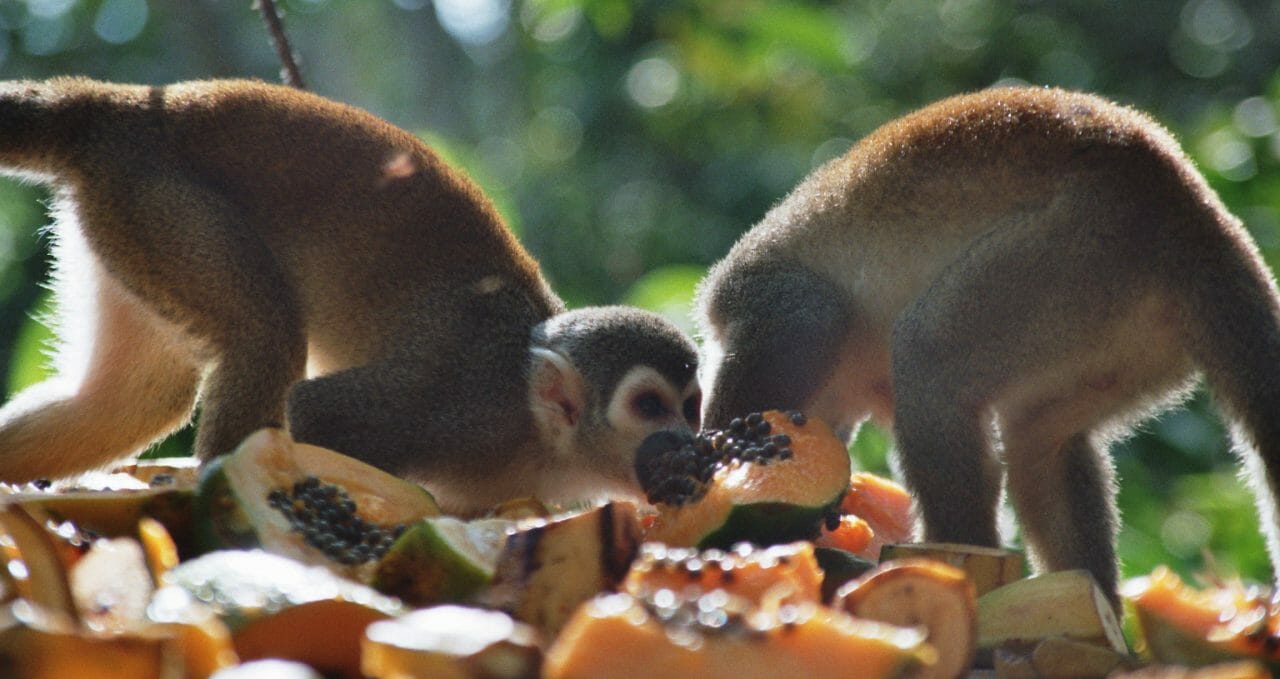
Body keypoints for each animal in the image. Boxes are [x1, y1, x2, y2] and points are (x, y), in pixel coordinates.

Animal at [0, 77, 701, 512]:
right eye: (649, 407)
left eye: (691, 407)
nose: (688, 442)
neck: (537, 431)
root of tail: (121, 106)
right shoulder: (463, 407)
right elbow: (320, 411)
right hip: (161, 201)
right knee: (264, 337)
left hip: (125, 220)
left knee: (131, 402)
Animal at [696, 85, 1280, 597]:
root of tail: (1185, 201)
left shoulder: (759, 300)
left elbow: (810, 315)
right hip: (1128, 324)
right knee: (1037, 436)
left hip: (1082, 247)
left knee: (928, 360)